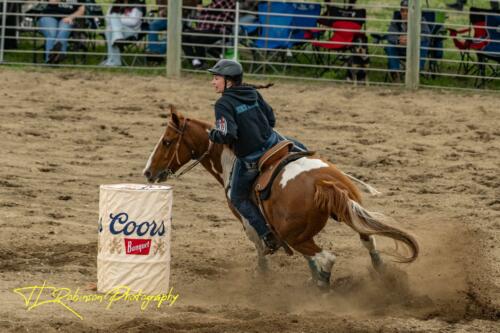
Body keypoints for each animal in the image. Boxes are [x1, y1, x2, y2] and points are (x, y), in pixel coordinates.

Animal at [142, 105, 418, 288]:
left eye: (167, 141)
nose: (148, 172)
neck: (230, 158)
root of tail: (324, 183)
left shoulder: (246, 217)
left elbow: (260, 246)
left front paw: (263, 279)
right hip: (341, 217)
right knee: (368, 242)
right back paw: (382, 276)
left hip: (295, 234)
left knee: (327, 258)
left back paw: (322, 287)